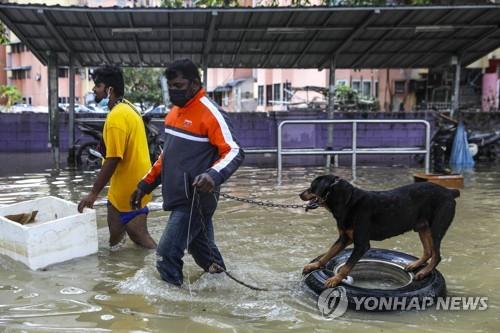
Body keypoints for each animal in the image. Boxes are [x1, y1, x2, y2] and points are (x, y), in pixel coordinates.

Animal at [298, 174, 458, 288]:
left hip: (437, 228)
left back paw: (424, 272)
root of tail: (450, 192)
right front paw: (314, 265)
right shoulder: (344, 238)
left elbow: (346, 266)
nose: (300, 194)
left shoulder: (361, 244)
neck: (347, 202)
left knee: (437, 255)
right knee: (429, 251)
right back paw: (416, 265)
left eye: (312, 187)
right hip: (422, 227)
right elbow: (329, 253)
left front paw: (335, 279)